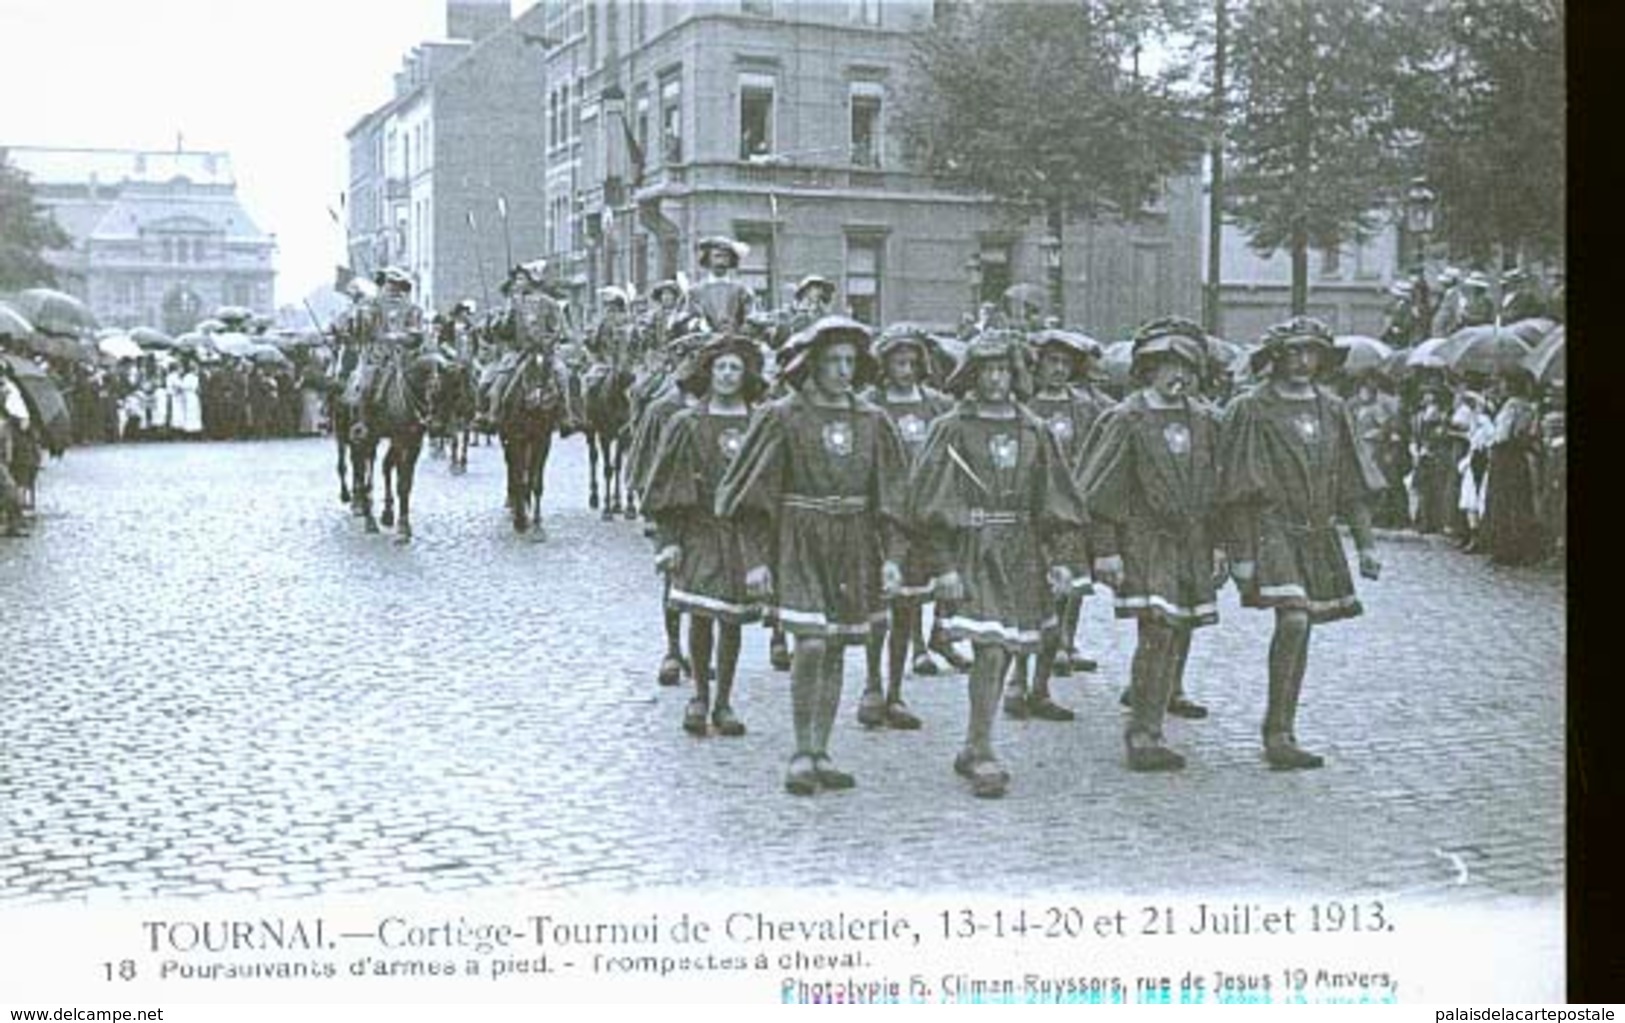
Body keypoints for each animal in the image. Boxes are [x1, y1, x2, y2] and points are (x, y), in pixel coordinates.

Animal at [490, 350, 562, 535]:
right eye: (528, 370)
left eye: (548, 369)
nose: (536, 399)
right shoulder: (516, 439)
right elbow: (518, 477)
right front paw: (520, 520)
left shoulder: (543, 441)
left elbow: (535, 481)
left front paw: (536, 521)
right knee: (512, 468)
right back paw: (513, 502)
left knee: (526, 471)